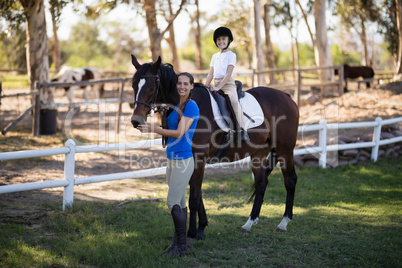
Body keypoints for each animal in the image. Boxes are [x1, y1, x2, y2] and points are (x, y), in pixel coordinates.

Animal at [130, 55, 300, 240]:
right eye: (134, 85)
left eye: (151, 87)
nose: (136, 121)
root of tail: (286, 96)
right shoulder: (190, 160)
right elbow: (197, 194)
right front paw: (201, 227)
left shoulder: (199, 159)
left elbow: (194, 197)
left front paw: (192, 232)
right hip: (259, 153)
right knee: (261, 183)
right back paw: (248, 224)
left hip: (284, 150)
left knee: (290, 180)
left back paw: (283, 223)